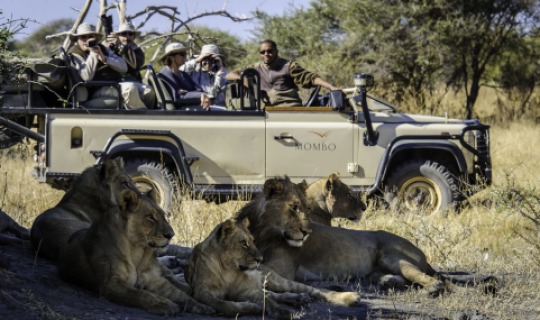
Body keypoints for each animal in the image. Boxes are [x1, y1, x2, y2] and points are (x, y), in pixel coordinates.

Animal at [56, 189, 213, 316]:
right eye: (150, 217)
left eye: (163, 215)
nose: (171, 234)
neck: (138, 251)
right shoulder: (111, 284)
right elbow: (141, 294)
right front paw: (164, 304)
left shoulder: (156, 281)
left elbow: (181, 295)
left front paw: (202, 306)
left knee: (173, 277)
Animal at [185, 216, 358, 318]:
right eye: (243, 244)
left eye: (253, 241)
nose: (260, 259)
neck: (227, 268)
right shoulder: (201, 291)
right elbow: (223, 304)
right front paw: (252, 307)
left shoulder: (245, 291)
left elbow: (267, 300)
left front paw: (283, 312)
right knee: (275, 294)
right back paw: (298, 298)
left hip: (277, 281)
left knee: (317, 290)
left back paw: (349, 298)